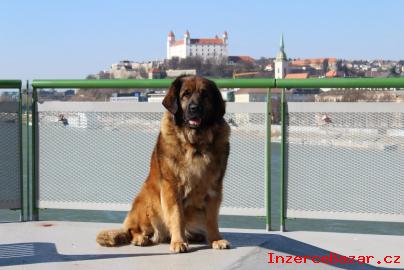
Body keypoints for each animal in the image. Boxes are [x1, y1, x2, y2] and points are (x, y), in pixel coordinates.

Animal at [96, 75, 230, 252]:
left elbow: (212, 218)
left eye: (205, 94)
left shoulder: (214, 189)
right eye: (185, 94)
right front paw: (179, 242)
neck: (195, 145)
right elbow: (177, 216)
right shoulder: (172, 187)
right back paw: (141, 238)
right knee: (132, 229)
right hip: (147, 200)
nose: (194, 108)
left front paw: (216, 239)